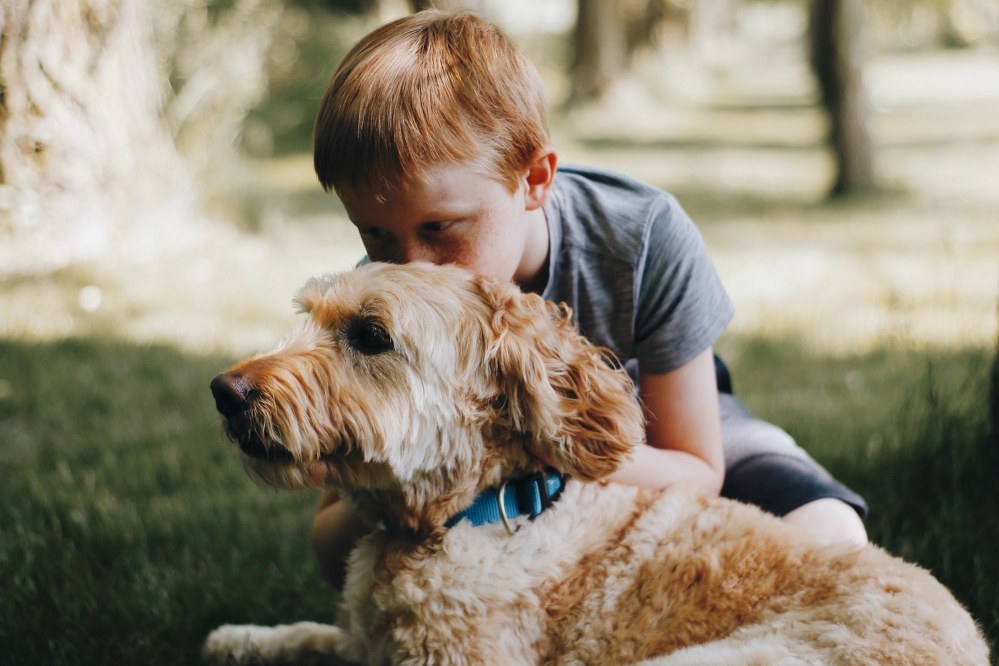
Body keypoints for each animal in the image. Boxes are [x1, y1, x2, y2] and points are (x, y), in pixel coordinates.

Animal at [205, 262, 992, 660]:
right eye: (310, 317)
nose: (224, 391)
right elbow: (316, 636)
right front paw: (245, 638)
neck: (480, 509)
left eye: (370, 335)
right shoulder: (362, 643)